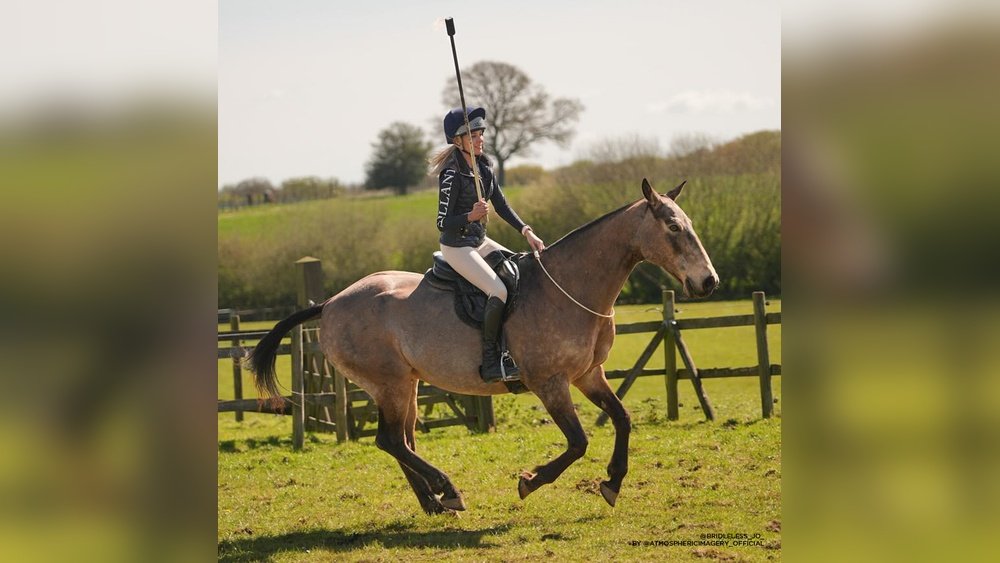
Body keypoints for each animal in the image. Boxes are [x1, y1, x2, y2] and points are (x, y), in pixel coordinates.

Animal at [248, 178, 718, 514]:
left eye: (692, 225)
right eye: (673, 228)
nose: (708, 282)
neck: (569, 288)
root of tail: (329, 303)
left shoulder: (588, 375)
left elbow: (622, 419)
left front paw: (613, 483)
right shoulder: (550, 383)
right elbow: (578, 442)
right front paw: (530, 481)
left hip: (405, 386)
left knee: (402, 441)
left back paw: (435, 503)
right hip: (389, 384)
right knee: (391, 441)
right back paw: (446, 490)